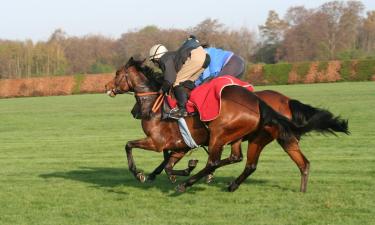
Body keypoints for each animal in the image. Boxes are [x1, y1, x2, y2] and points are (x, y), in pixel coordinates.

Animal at [105, 57, 350, 192]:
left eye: (117, 73)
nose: (107, 87)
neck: (155, 104)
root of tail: (259, 103)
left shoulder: (158, 142)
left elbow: (130, 146)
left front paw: (140, 173)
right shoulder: (179, 145)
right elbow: (167, 164)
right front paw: (176, 170)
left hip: (223, 134)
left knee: (217, 161)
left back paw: (190, 183)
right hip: (258, 137)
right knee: (251, 162)